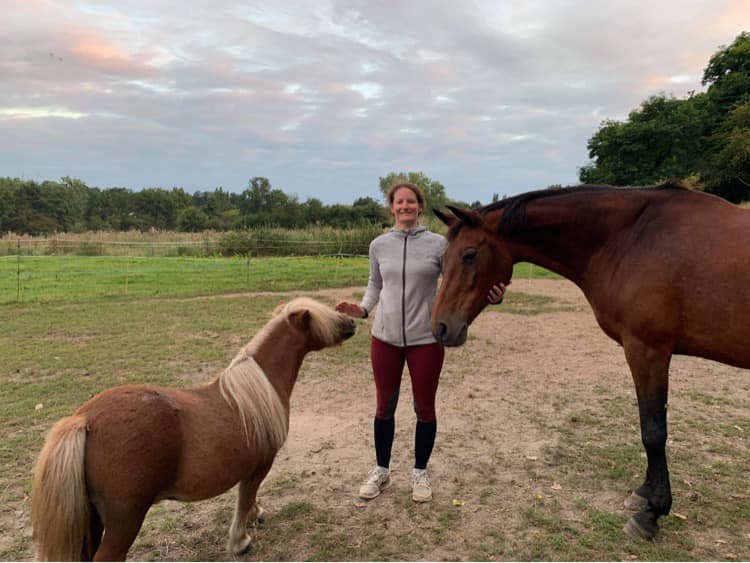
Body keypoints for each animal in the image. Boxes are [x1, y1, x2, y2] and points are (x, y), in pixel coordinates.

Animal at [31, 297, 356, 561]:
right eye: (327, 316)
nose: (353, 321)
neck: (258, 388)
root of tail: (84, 420)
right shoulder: (260, 465)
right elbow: (245, 497)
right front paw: (240, 541)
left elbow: (249, 498)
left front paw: (255, 516)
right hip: (124, 521)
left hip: (93, 520)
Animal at [431, 182, 750, 540]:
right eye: (444, 258)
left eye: (469, 255)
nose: (441, 327)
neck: (631, 237)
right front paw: (644, 493)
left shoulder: (648, 351)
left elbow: (653, 430)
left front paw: (652, 512)